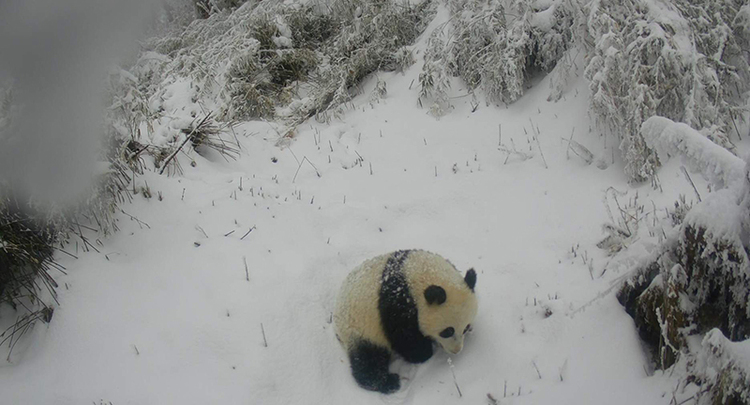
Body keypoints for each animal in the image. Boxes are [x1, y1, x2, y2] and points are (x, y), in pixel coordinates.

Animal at [336, 248, 482, 392]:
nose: (456, 350)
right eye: (448, 331)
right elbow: (405, 337)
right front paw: (424, 353)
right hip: (360, 327)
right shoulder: (397, 304)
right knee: (368, 357)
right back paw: (388, 382)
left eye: (465, 328)